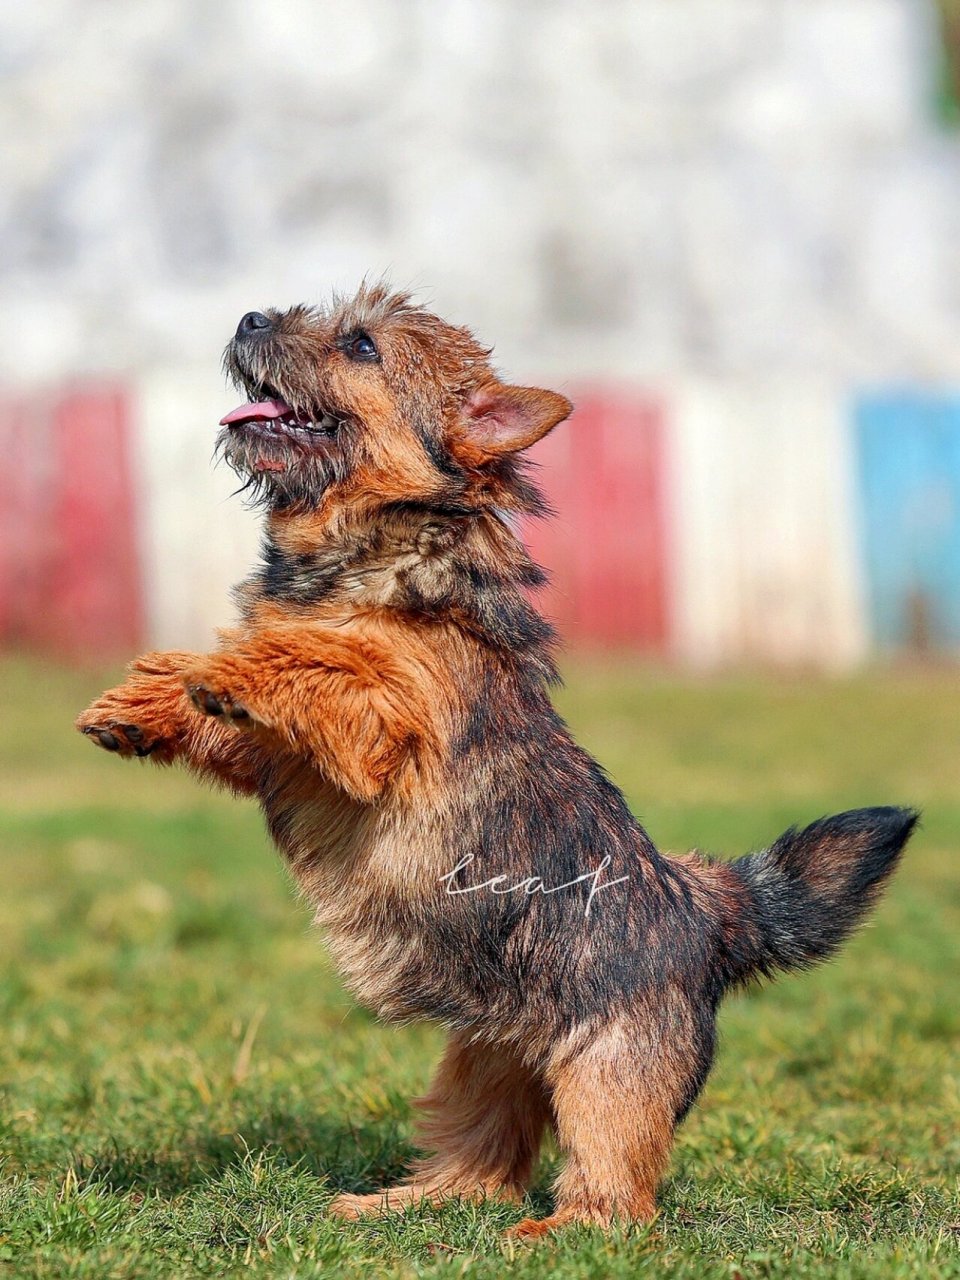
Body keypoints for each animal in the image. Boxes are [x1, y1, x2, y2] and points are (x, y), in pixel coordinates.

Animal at [79, 285, 921, 1233]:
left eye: (359, 345)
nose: (251, 317)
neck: (359, 550)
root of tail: (709, 913)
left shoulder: (386, 721)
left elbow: (320, 664)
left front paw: (227, 667)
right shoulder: (283, 756)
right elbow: (245, 698)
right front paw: (142, 703)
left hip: (608, 1073)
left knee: (617, 1190)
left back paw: (554, 1234)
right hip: (483, 1057)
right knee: (485, 1162)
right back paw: (397, 1203)